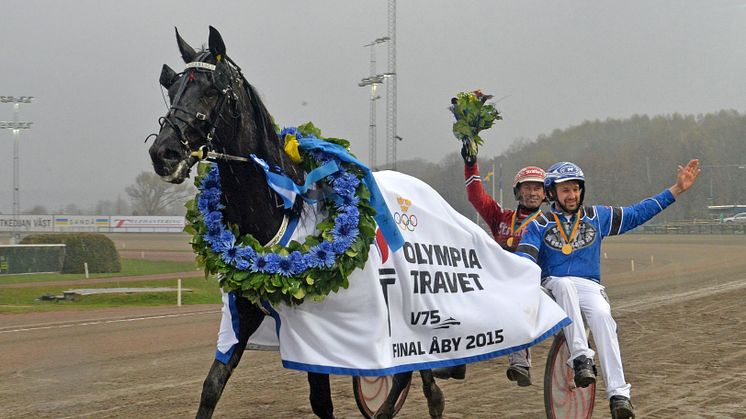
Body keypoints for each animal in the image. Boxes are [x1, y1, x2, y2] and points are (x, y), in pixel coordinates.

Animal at [149, 27, 444, 419]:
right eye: (173, 88)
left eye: (212, 90)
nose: (163, 153)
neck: (279, 207)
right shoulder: (244, 311)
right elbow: (212, 386)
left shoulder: (315, 325)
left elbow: (321, 401)